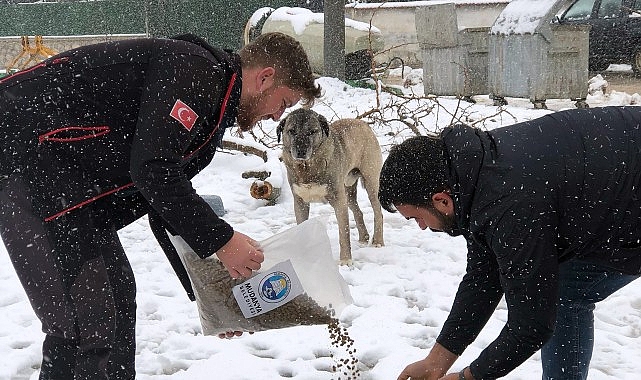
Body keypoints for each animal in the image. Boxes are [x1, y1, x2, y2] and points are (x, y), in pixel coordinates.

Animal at [276, 108, 384, 266]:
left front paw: (345, 260)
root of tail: (363, 123)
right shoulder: (300, 202)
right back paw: (363, 237)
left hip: (370, 182)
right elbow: (302, 225)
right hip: (347, 191)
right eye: (291, 131)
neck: (307, 168)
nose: (301, 151)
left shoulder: (339, 201)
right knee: (358, 211)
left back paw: (378, 241)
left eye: (312, 131)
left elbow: (343, 233)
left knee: (378, 212)